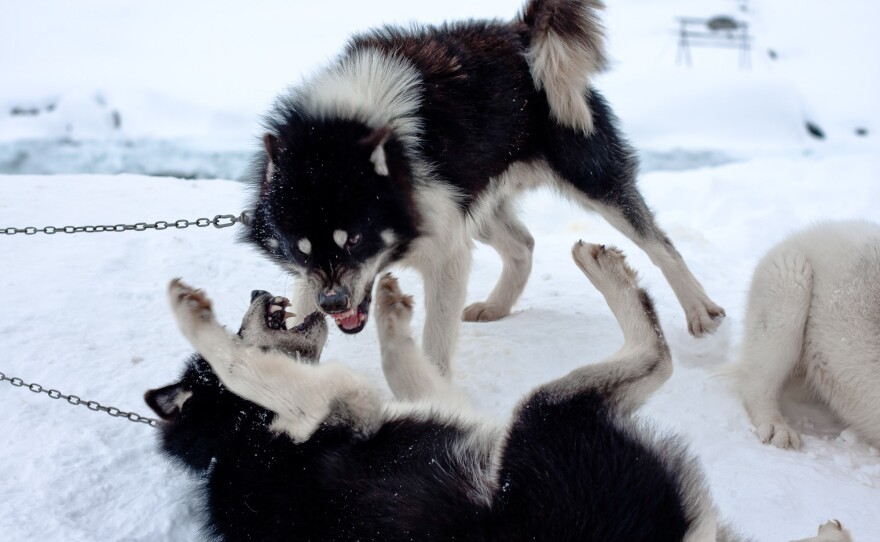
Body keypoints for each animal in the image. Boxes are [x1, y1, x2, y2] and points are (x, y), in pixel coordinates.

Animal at [144, 245, 844, 542]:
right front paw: (190, 317)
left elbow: (403, 364)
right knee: (656, 354)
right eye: (243, 319)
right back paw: (607, 270)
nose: (259, 292)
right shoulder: (323, 404)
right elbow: (237, 363)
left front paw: (392, 312)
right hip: (542, 420)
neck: (237, 435)